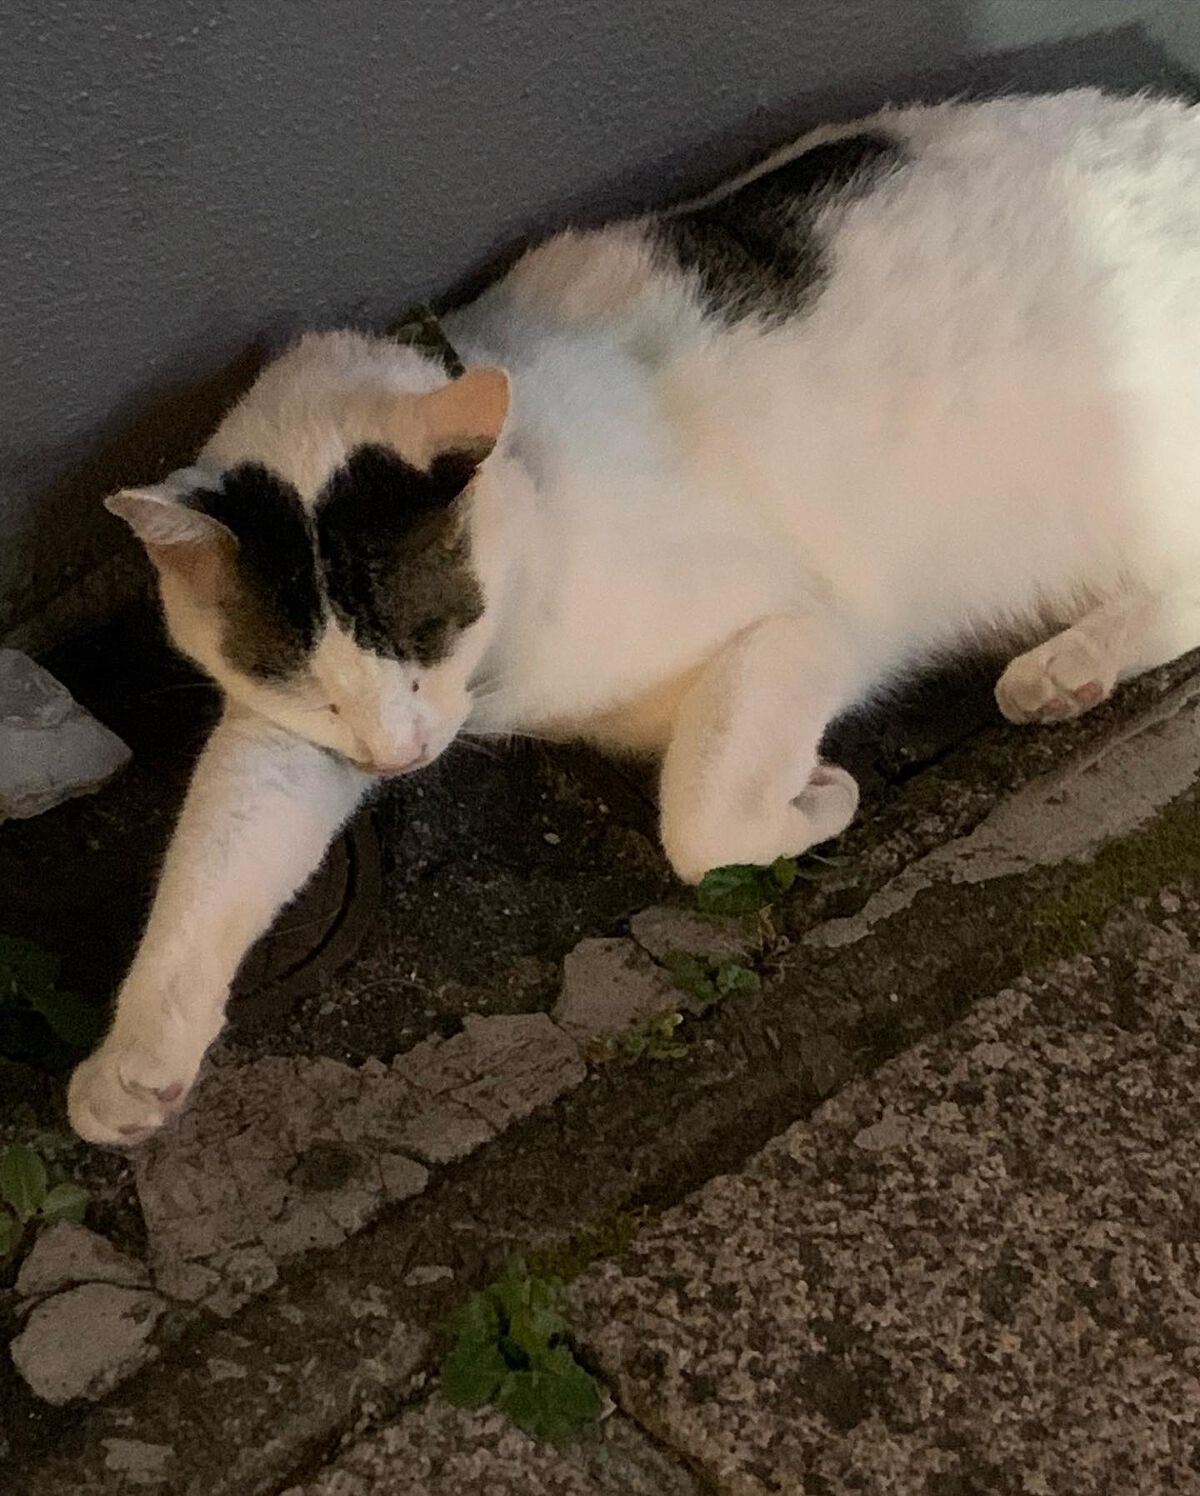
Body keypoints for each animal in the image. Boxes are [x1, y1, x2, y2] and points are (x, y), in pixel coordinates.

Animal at [69, 88, 1200, 1145]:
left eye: (434, 630)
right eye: (303, 680)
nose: (397, 757)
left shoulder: (808, 624)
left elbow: (699, 827)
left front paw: (816, 801)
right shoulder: (288, 738)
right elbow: (214, 858)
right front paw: (136, 1057)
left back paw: (1060, 669)